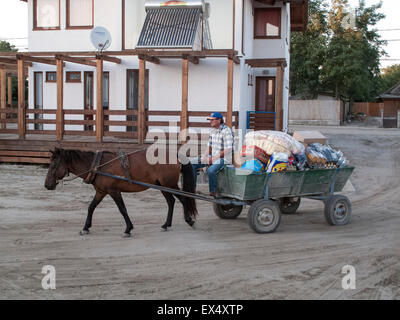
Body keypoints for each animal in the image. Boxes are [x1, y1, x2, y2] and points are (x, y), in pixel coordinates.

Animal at [44, 148, 198, 238]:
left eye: (53, 164)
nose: (47, 185)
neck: (98, 166)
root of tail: (174, 155)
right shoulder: (101, 192)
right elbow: (91, 207)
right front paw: (86, 227)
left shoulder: (114, 191)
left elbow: (122, 209)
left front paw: (128, 229)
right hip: (161, 186)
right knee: (171, 201)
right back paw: (166, 224)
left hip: (169, 184)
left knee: (183, 199)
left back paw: (189, 220)